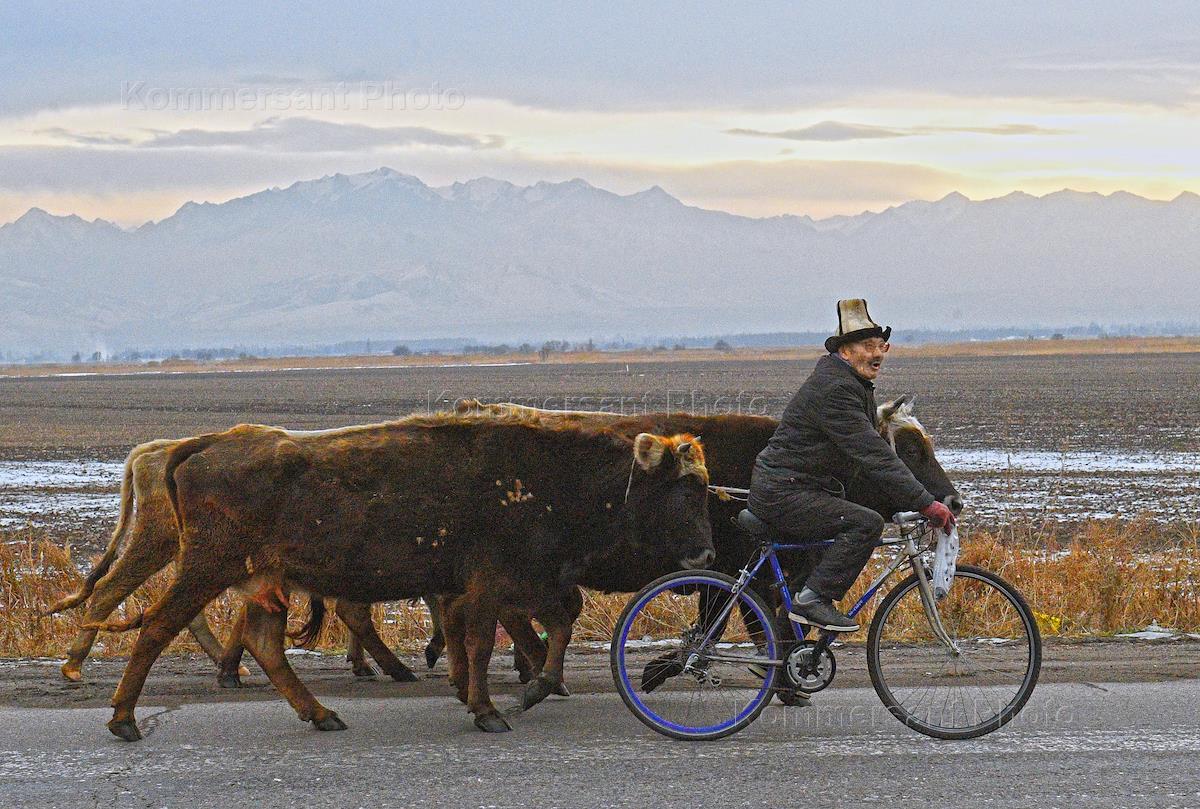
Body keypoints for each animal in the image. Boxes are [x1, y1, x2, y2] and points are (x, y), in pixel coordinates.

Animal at [104, 412, 714, 740]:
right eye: (685, 487)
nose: (706, 552)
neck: (549, 476)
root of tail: (204, 443)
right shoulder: (494, 586)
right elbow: (486, 642)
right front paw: (490, 710)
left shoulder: (527, 585)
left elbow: (554, 628)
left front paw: (530, 689)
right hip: (207, 570)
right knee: (156, 626)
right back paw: (124, 720)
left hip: (266, 584)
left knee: (265, 643)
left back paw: (323, 715)